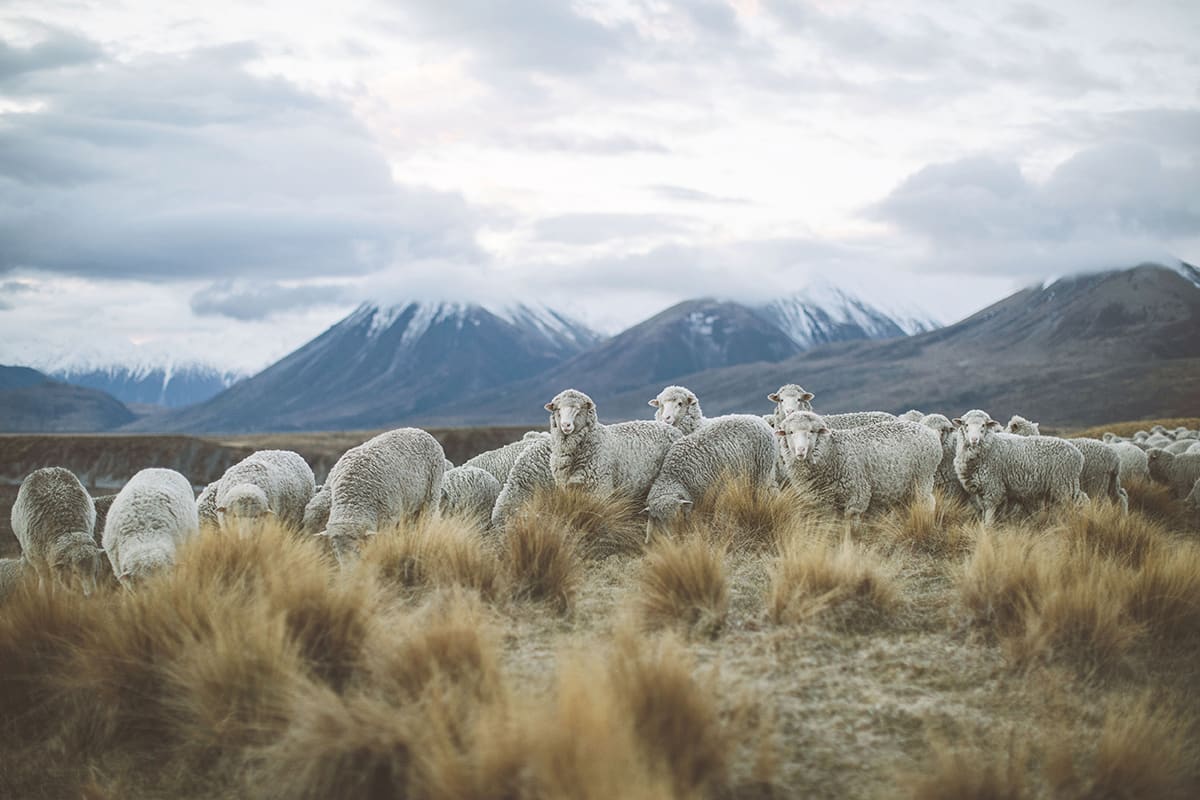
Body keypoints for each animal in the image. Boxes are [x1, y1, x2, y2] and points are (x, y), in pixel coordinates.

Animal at [316, 429, 448, 566]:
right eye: (336, 551)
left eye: (358, 549)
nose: (349, 570)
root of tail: (419, 430)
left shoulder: (389, 518)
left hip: (431, 496)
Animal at [648, 412, 777, 537]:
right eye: (657, 519)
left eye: (676, 517)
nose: (670, 538)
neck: (676, 477)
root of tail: (758, 419)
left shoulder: (707, 495)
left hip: (762, 470)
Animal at [772, 410, 940, 522]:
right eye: (790, 432)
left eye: (812, 431)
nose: (801, 451)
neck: (833, 450)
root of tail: (930, 432)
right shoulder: (823, 501)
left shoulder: (857, 494)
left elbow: (851, 521)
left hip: (922, 478)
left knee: (927, 502)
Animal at [955, 407, 1089, 525]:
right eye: (966, 425)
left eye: (983, 425)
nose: (974, 439)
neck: (991, 446)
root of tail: (1079, 454)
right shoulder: (981, 489)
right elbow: (984, 510)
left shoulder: (993, 486)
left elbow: (989, 512)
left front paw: (988, 529)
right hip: (1062, 485)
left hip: (1065, 483)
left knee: (1081, 501)